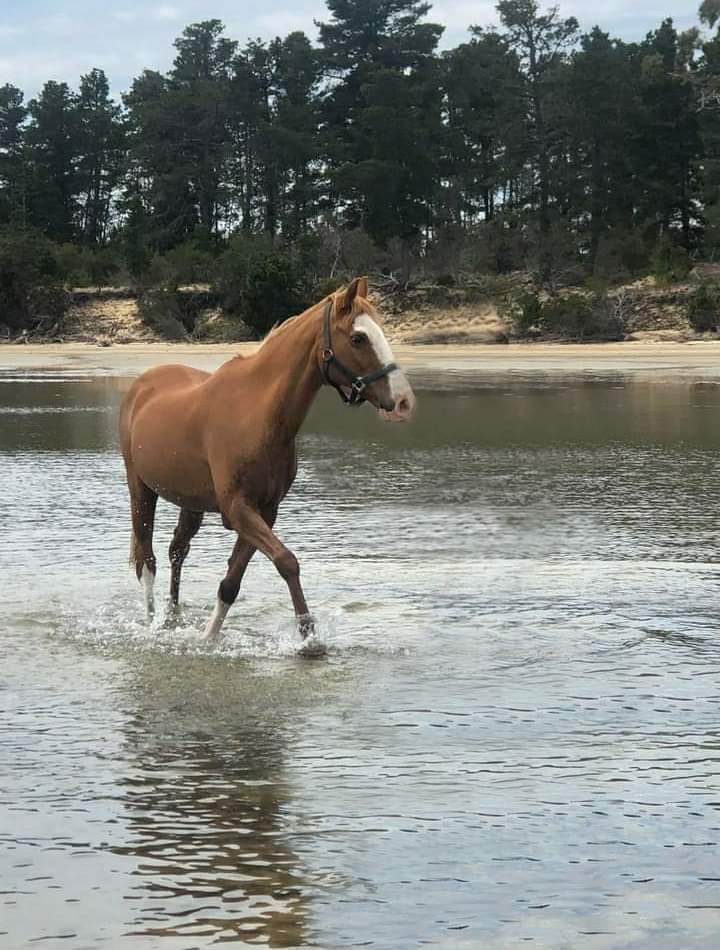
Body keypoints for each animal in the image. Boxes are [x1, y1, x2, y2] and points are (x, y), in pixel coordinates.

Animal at [119, 277, 416, 652]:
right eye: (358, 338)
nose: (404, 402)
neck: (259, 411)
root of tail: (141, 386)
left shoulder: (265, 511)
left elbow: (234, 581)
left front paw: (211, 636)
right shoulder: (239, 510)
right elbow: (287, 561)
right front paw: (308, 636)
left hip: (192, 503)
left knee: (177, 551)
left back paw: (173, 618)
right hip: (141, 489)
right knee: (147, 560)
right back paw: (152, 624)